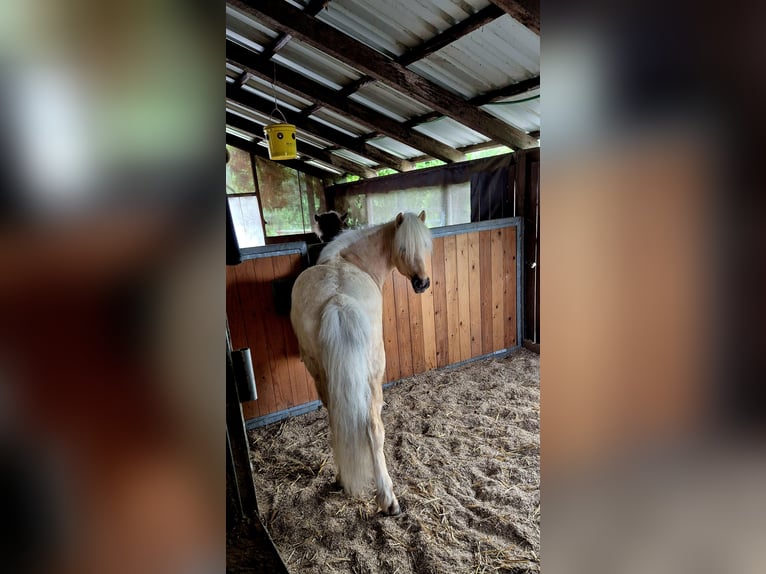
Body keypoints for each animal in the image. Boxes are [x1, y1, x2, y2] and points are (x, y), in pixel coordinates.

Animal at [290, 211, 432, 515]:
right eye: (403, 249)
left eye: (426, 246)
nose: (422, 283)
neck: (349, 258)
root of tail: (338, 300)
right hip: (373, 372)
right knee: (373, 427)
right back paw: (388, 499)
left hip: (320, 373)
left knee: (336, 422)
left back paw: (341, 478)